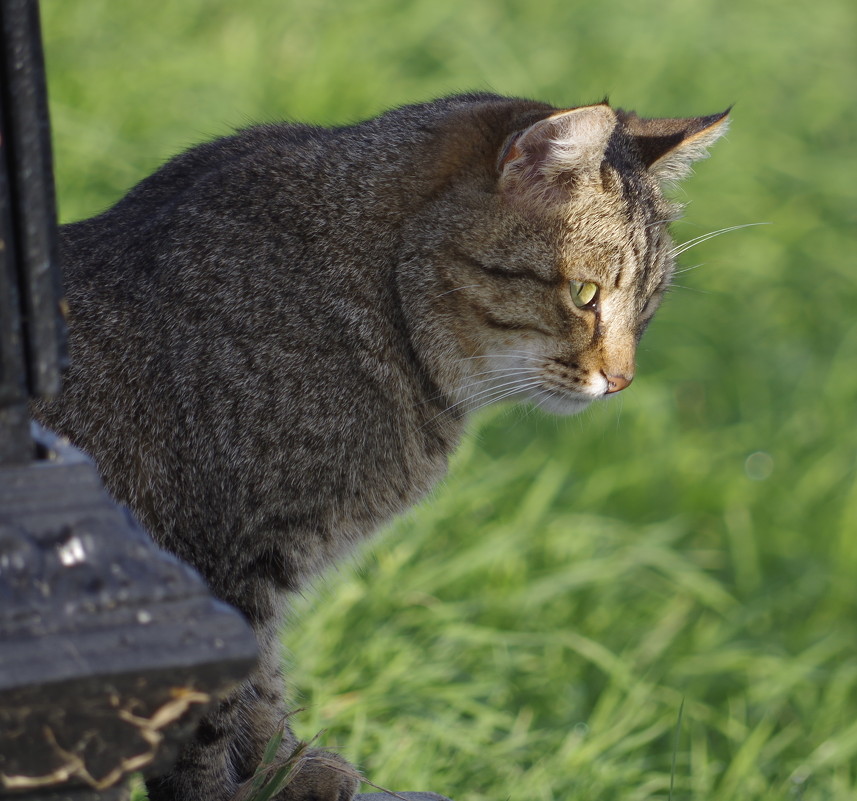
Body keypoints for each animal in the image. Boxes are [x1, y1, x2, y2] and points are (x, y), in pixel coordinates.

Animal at [35, 90, 728, 796]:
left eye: (647, 309)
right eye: (585, 294)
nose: (623, 380)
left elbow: (262, 686)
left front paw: (280, 768)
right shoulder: (214, 562)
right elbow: (213, 713)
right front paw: (223, 790)